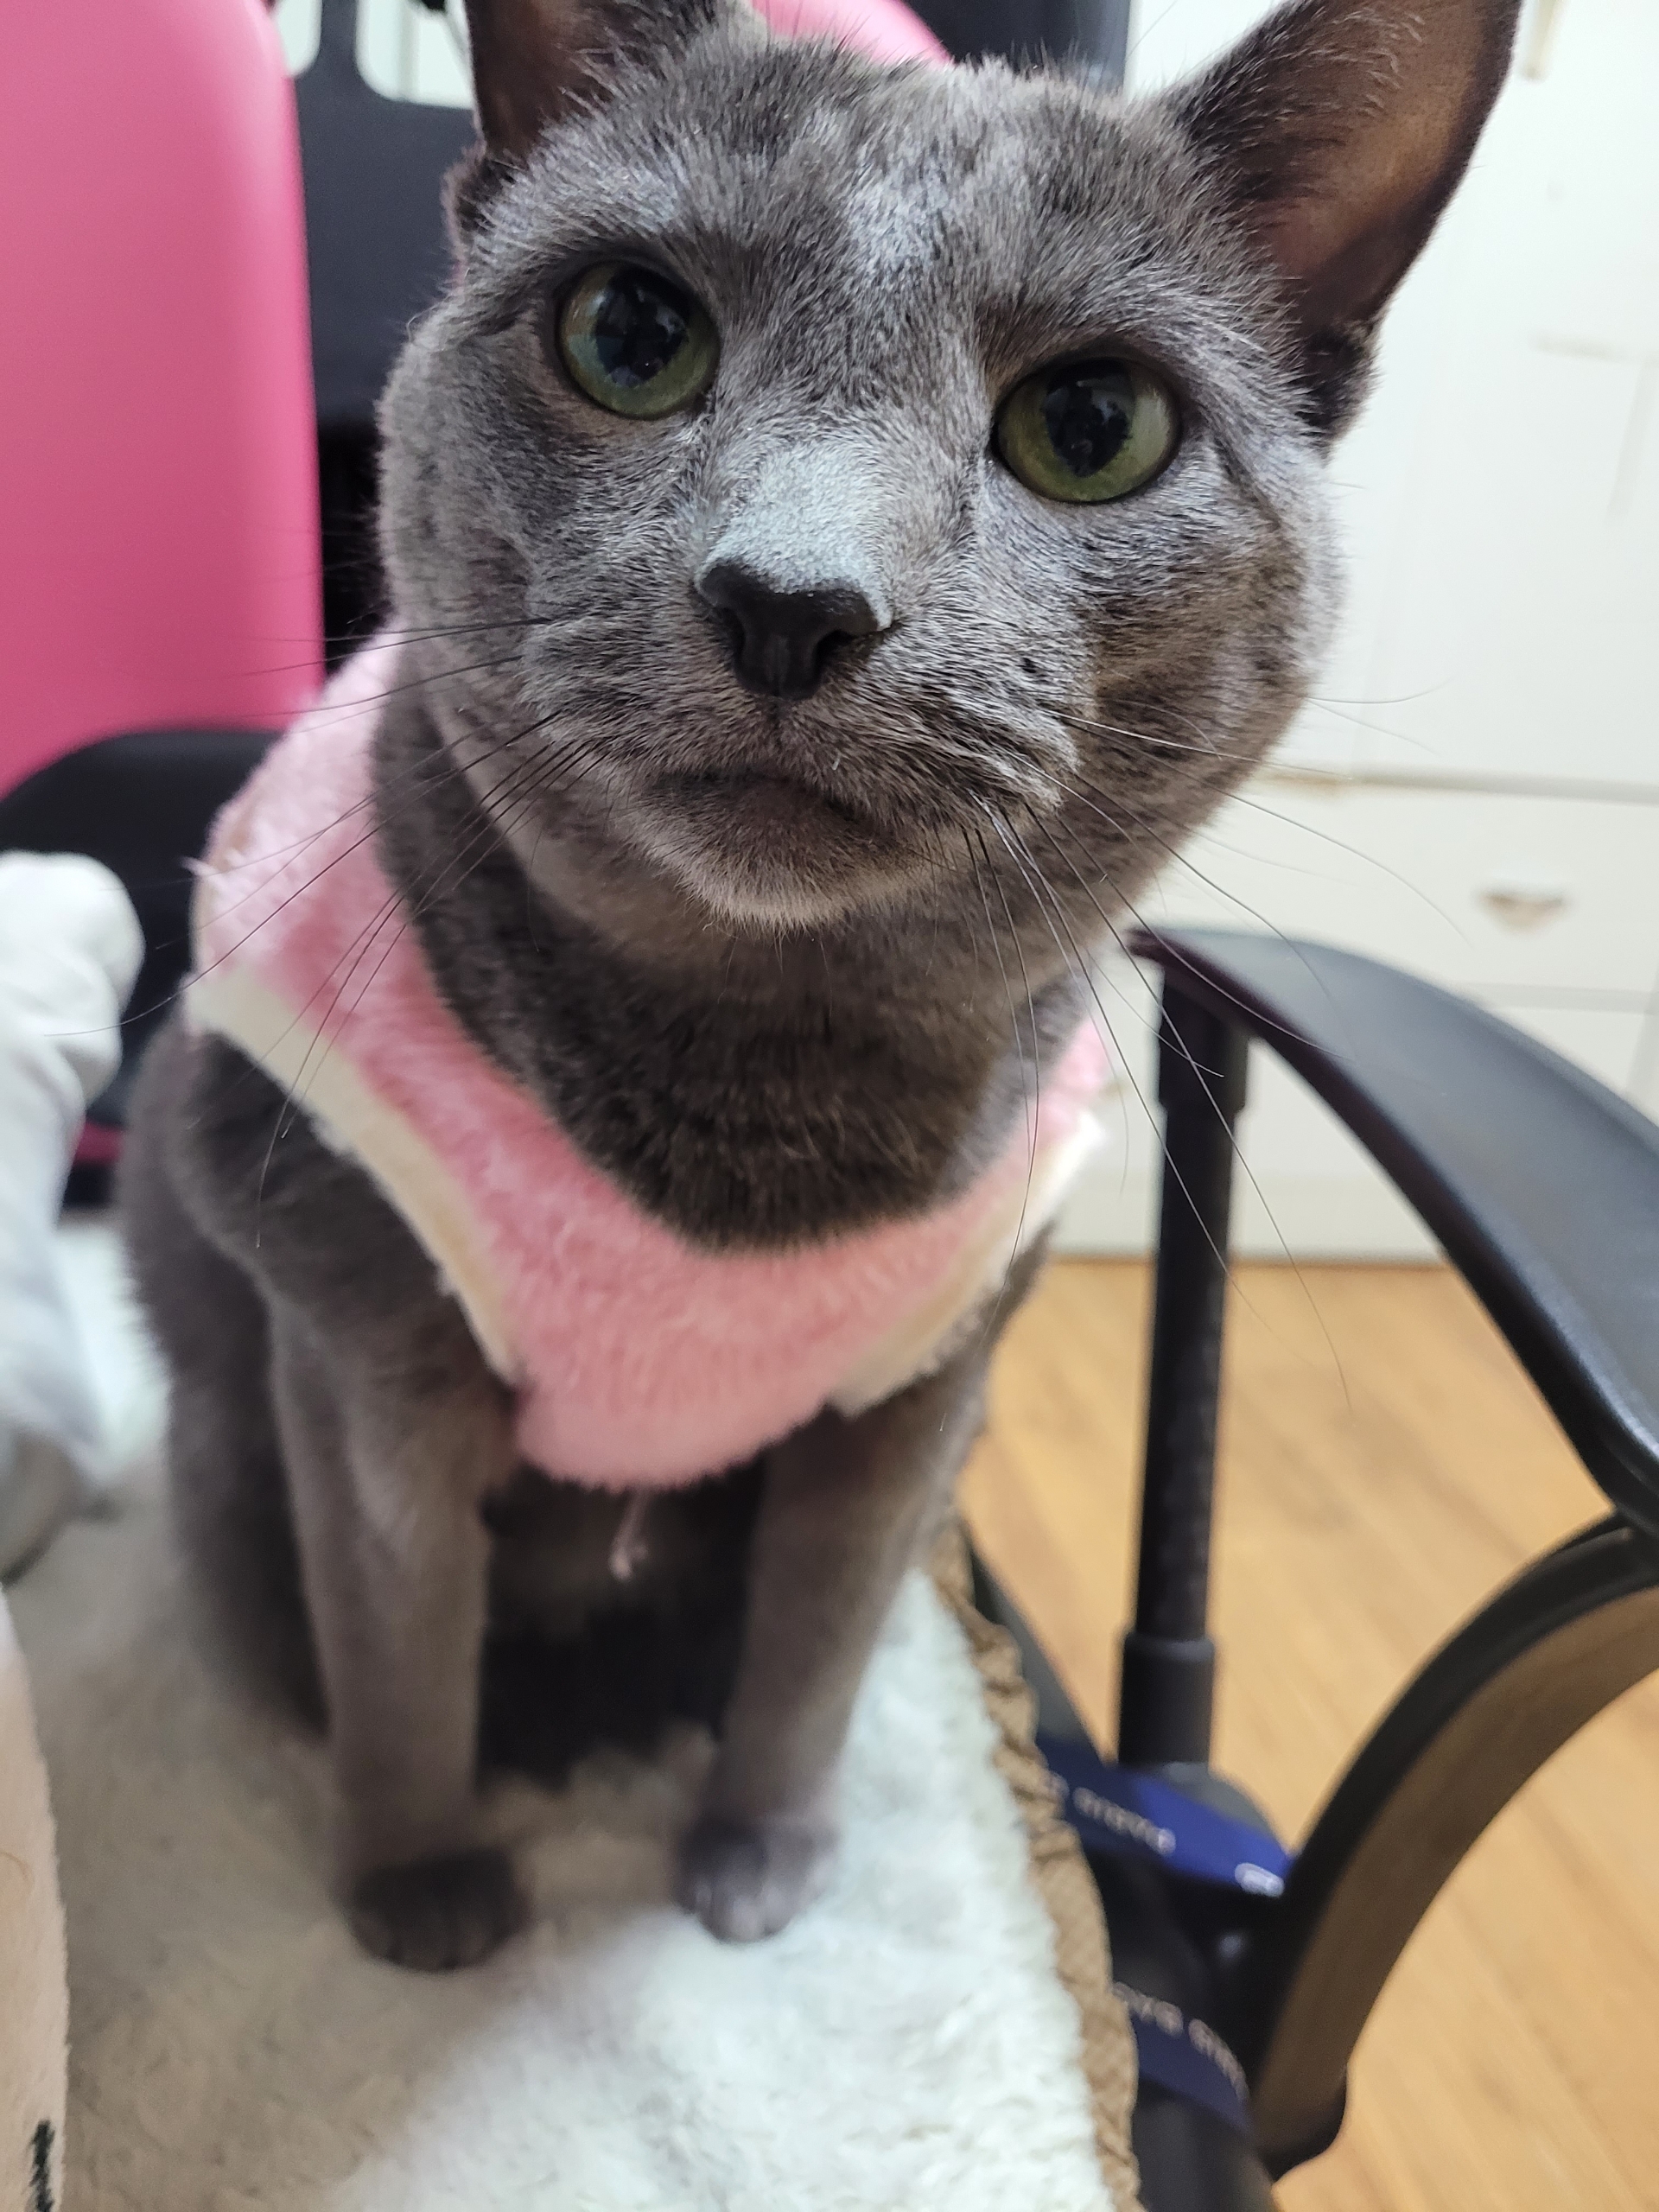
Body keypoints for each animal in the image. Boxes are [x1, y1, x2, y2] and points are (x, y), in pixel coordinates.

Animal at [121, 0, 1519, 1971]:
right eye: (631, 333)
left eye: (1094, 426)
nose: (792, 597)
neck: (753, 1085)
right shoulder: (363, 1333)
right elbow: (400, 1650)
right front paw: (418, 1886)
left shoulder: (917, 1390)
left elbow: (815, 1648)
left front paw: (761, 1855)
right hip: (232, 1449)